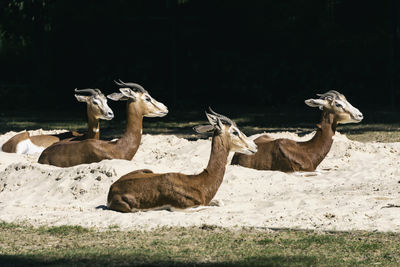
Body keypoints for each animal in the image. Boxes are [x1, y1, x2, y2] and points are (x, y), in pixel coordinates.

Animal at [106, 109, 256, 214]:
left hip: (148, 170)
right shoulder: (180, 208)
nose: (254, 146)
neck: (200, 182)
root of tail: (112, 188)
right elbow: (207, 207)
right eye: (235, 132)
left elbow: (219, 203)